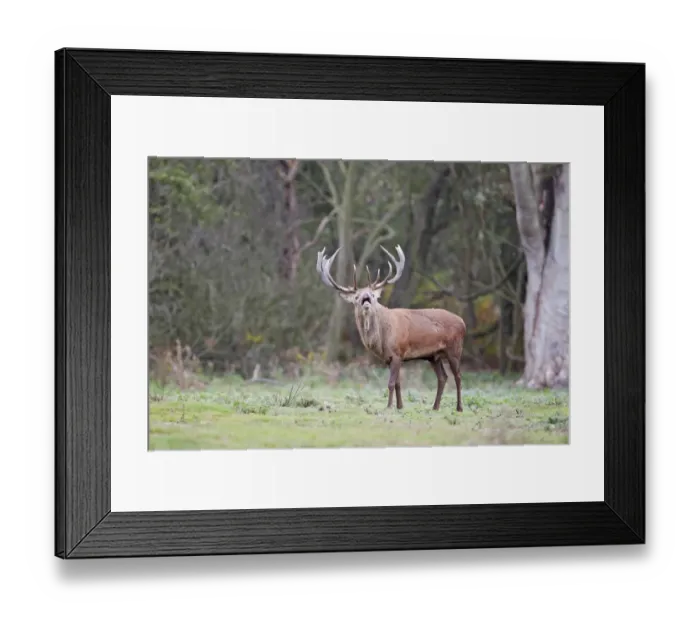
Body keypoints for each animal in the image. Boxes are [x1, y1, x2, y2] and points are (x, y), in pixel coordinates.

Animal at [316, 244, 466, 412]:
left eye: (373, 295)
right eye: (356, 297)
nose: (366, 299)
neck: (382, 340)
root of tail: (463, 322)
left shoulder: (397, 353)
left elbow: (391, 383)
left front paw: (388, 406)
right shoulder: (390, 358)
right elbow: (398, 383)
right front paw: (400, 406)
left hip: (455, 349)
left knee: (458, 377)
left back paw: (459, 407)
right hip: (434, 356)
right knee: (443, 377)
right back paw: (435, 407)